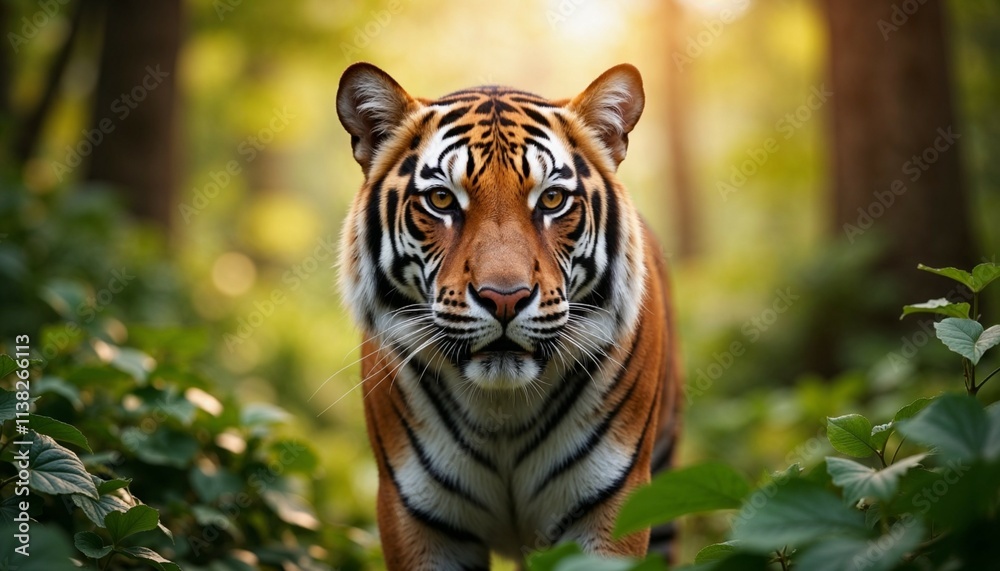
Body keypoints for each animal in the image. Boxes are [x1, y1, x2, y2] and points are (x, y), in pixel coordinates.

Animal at [335, 62, 682, 570]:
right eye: (442, 201)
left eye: (552, 200)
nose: (504, 298)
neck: (502, 411)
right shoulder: (417, 517)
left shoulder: (609, 505)